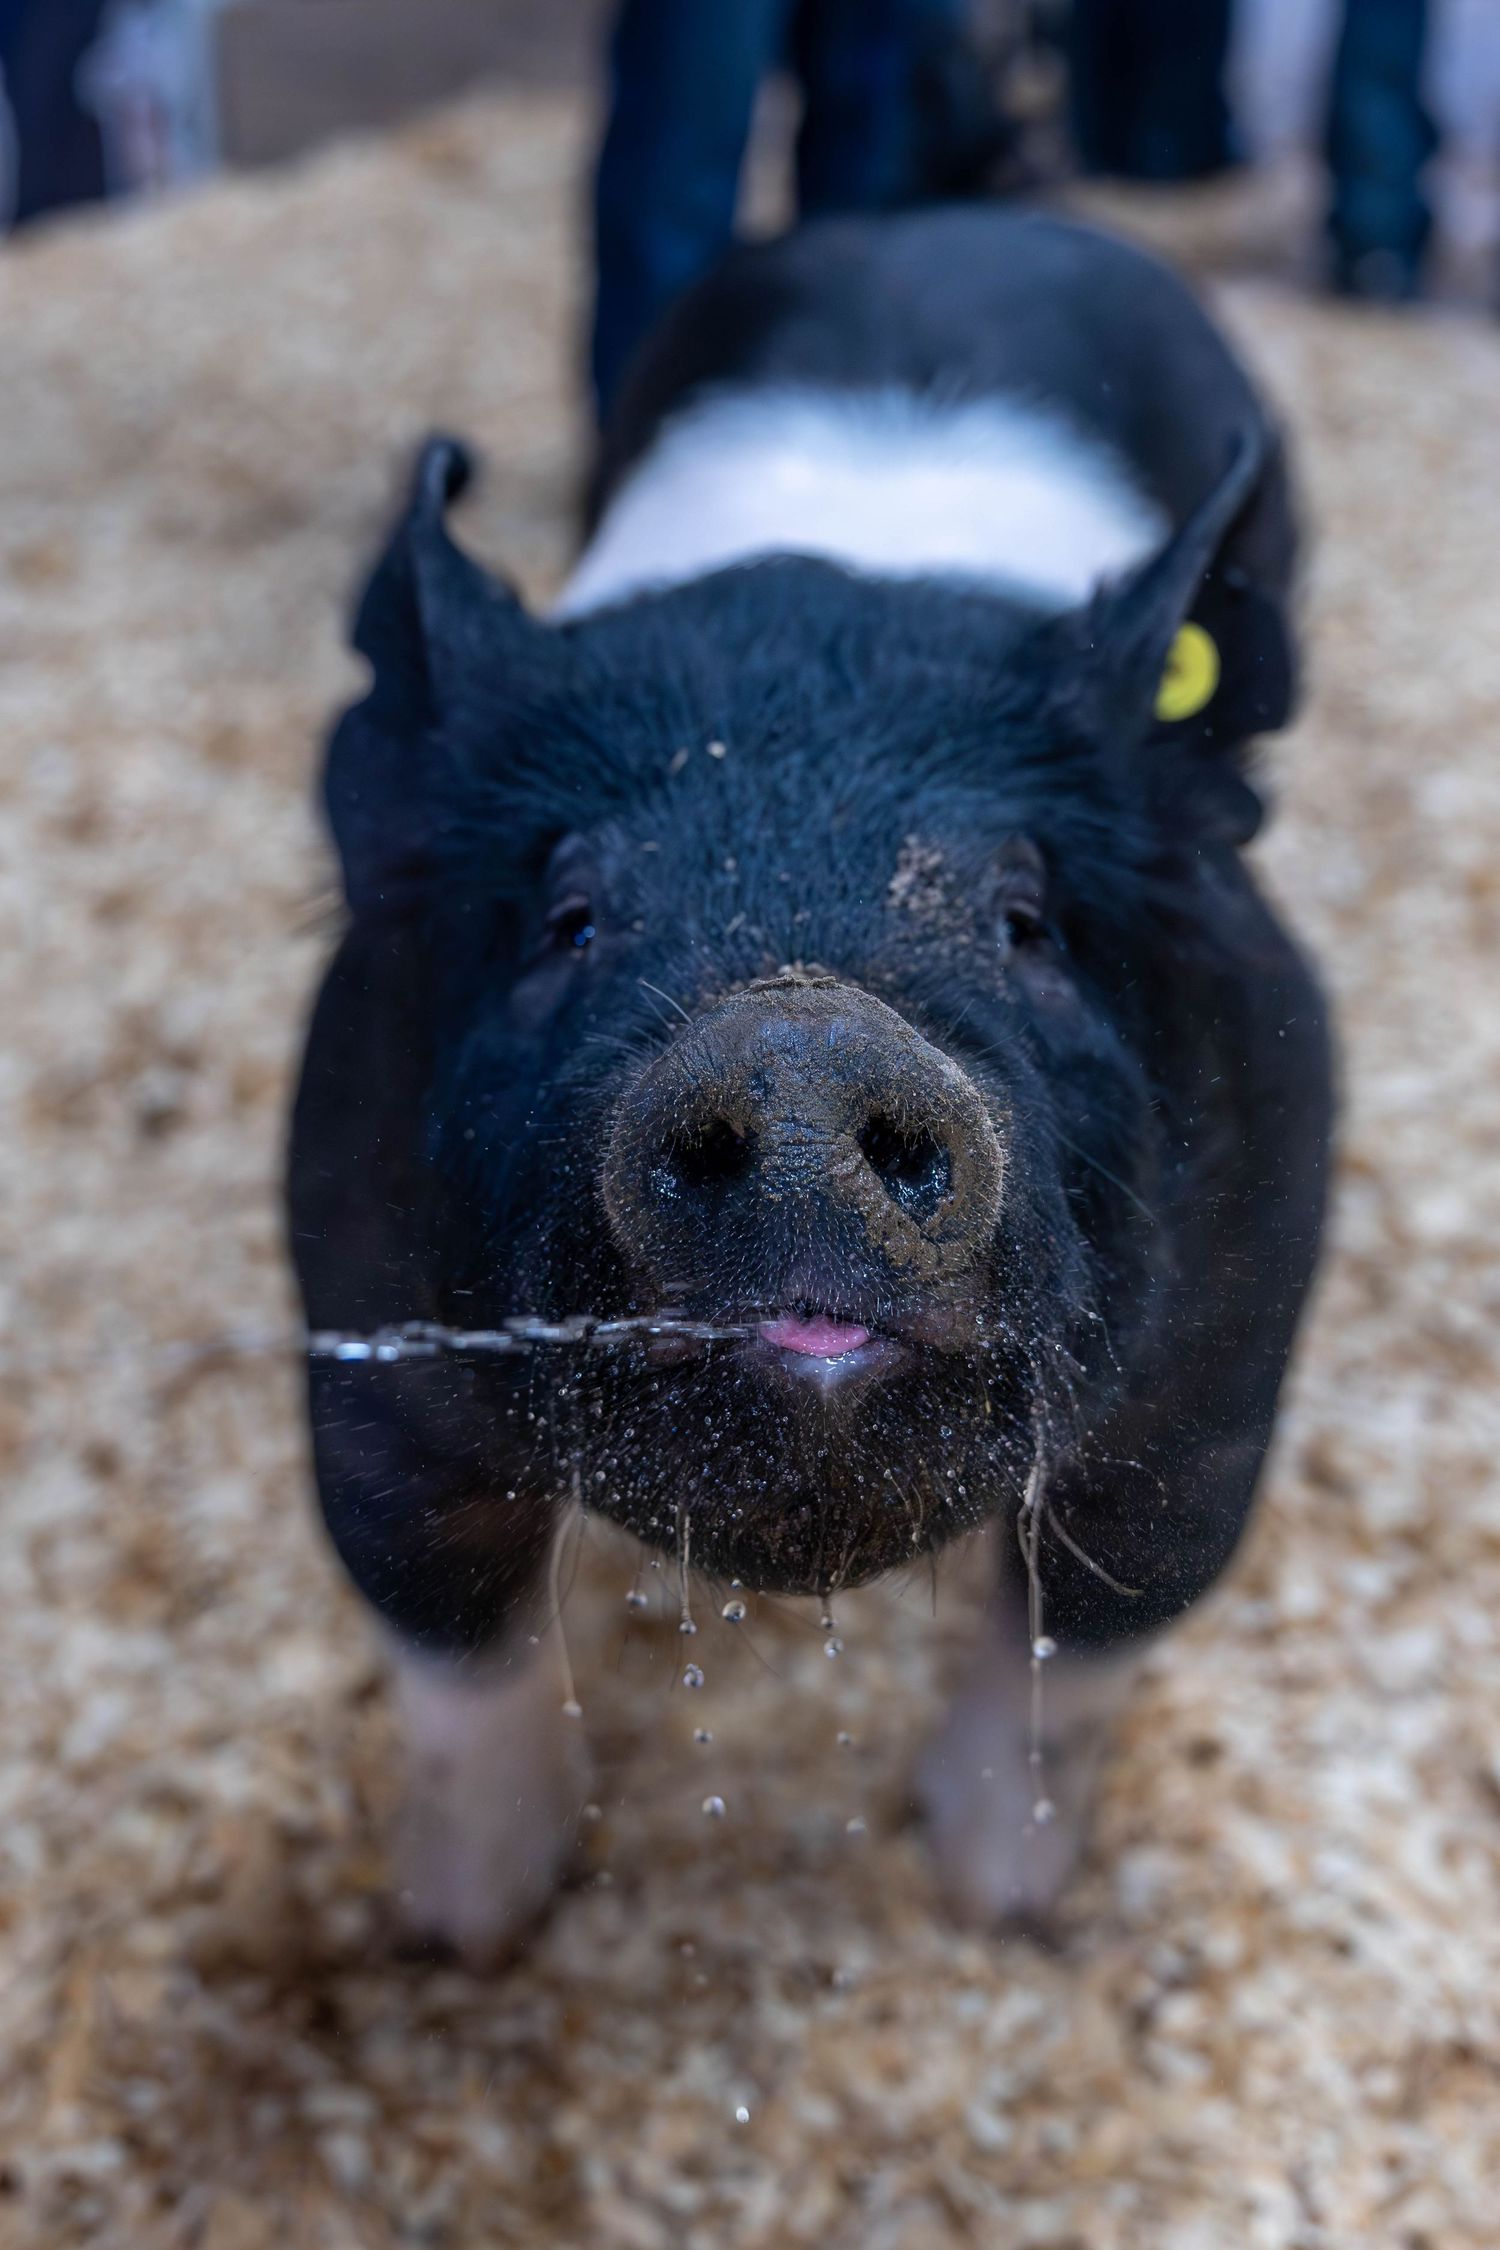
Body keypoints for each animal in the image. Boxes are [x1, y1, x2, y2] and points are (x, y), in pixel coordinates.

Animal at [288, 206, 1332, 1963]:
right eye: (570, 916)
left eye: (1026, 917)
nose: (796, 1044)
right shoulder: (358, 1319)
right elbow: (448, 1618)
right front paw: (466, 1922)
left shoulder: (1226, 1349)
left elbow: (1097, 1620)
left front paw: (999, 1895)